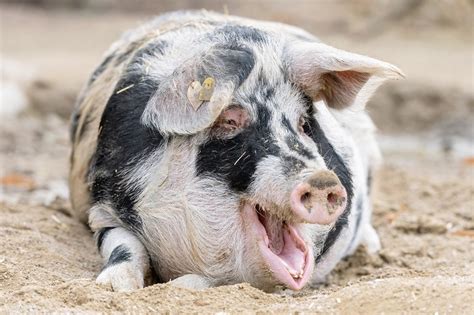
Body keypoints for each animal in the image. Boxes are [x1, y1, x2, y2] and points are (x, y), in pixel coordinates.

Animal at [68, 9, 402, 292]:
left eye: (305, 124)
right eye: (229, 121)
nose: (321, 181)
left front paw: (178, 286)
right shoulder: (103, 208)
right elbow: (123, 245)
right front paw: (115, 287)